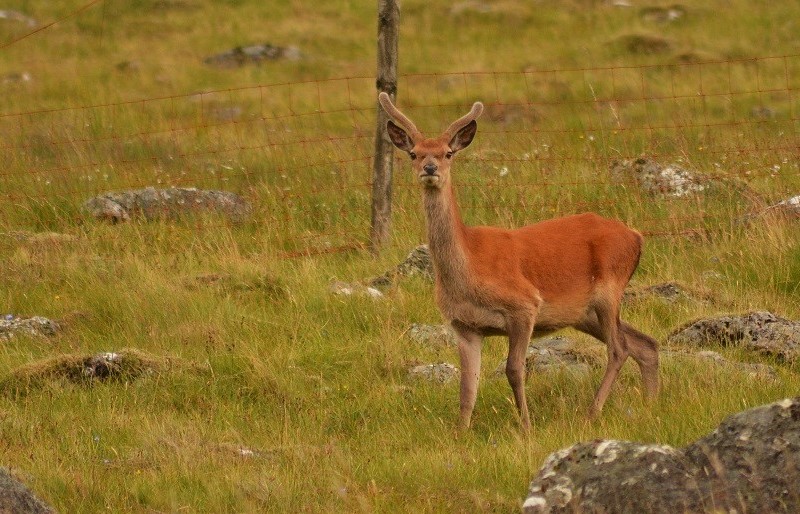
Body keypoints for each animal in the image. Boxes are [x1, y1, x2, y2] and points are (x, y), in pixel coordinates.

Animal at [378, 92, 660, 428]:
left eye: (448, 153)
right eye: (414, 153)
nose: (430, 168)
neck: (469, 267)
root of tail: (636, 236)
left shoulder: (524, 305)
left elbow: (514, 369)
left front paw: (526, 425)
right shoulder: (464, 325)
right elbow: (467, 386)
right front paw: (460, 432)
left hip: (609, 289)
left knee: (619, 349)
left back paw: (592, 412)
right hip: (584, 312)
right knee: (644, 343)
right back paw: (649, 405)